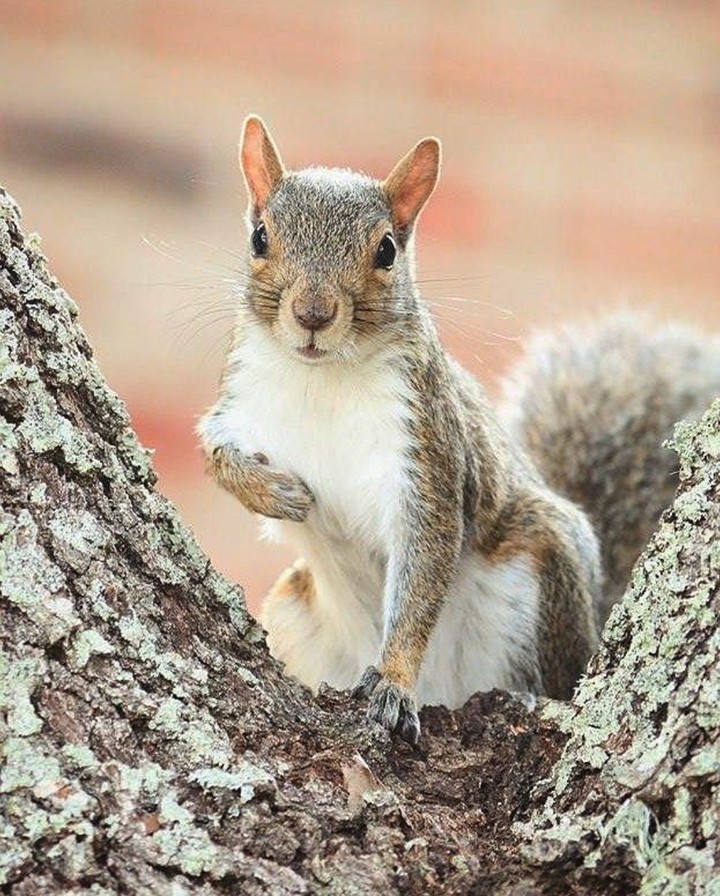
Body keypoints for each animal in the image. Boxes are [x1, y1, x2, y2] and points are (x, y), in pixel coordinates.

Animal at [198, 115, 720, 744]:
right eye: (259, 238)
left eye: (386, 250)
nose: (313, 314)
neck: (321, 378)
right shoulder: (240, 404)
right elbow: (214, 454)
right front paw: (275, 493)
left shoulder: (429, 453)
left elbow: (424, 569)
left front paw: (394, 682)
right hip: (291, 607)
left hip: (542, 562)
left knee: (559, 677)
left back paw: (525, 697)